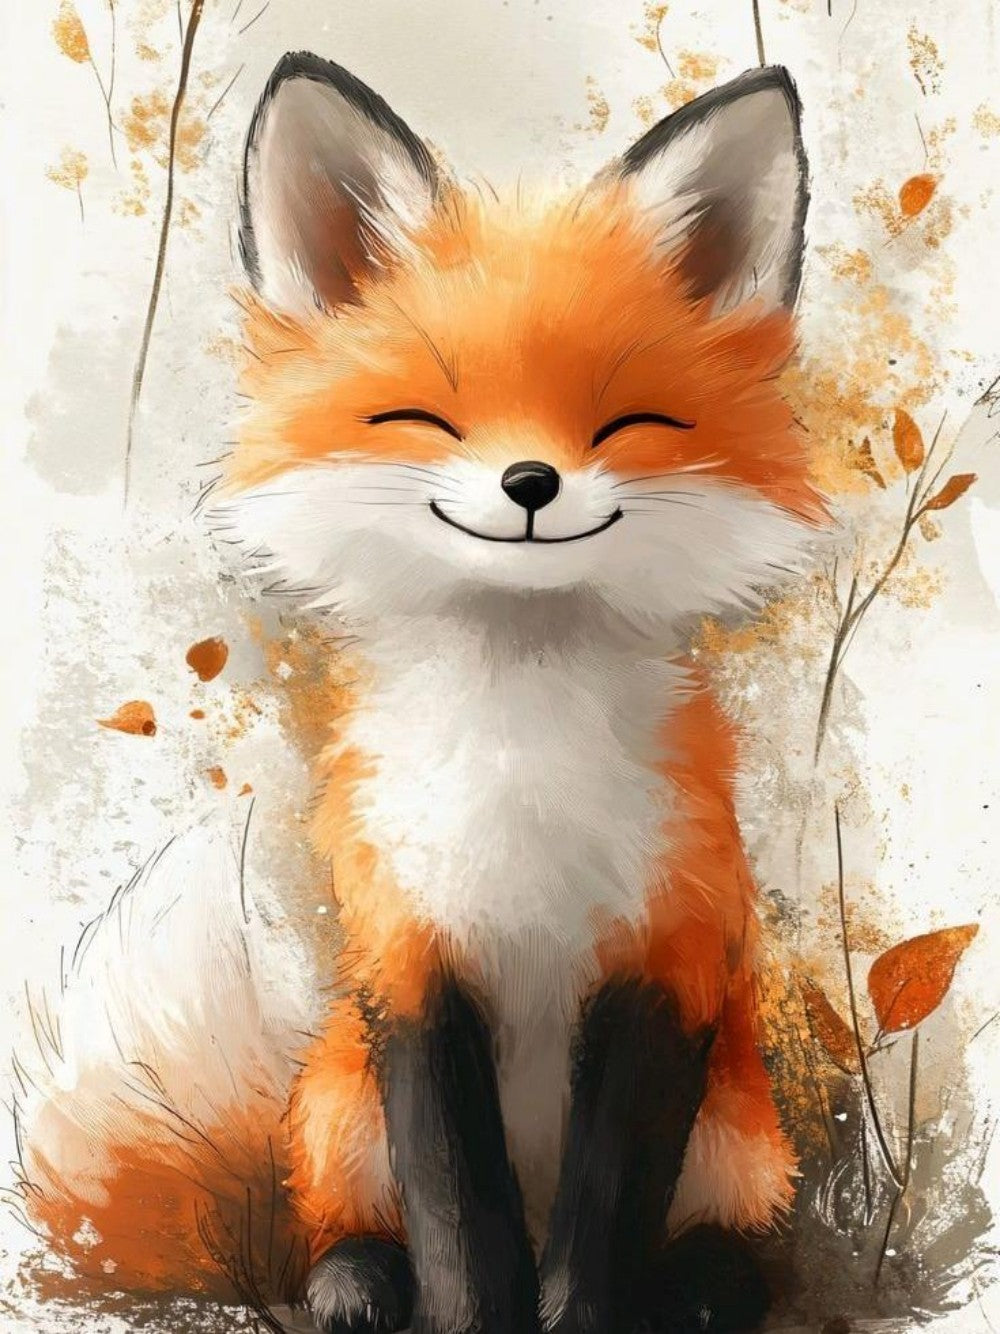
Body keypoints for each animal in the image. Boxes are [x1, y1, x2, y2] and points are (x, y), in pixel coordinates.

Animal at [17, 52, 825, 1334]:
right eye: (423, 417)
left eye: (629, 421)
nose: (531, 480)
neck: (520, 762)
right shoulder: (410, 958)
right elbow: (453, 1204)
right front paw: (466, 1312)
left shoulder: (668, 953)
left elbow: (602, 1215)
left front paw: (580, 1313)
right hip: (337, 1109)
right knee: (345, 1229)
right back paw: (351, 1281)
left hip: (740, 1141)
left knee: (721, 1250)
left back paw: (699, 1288)